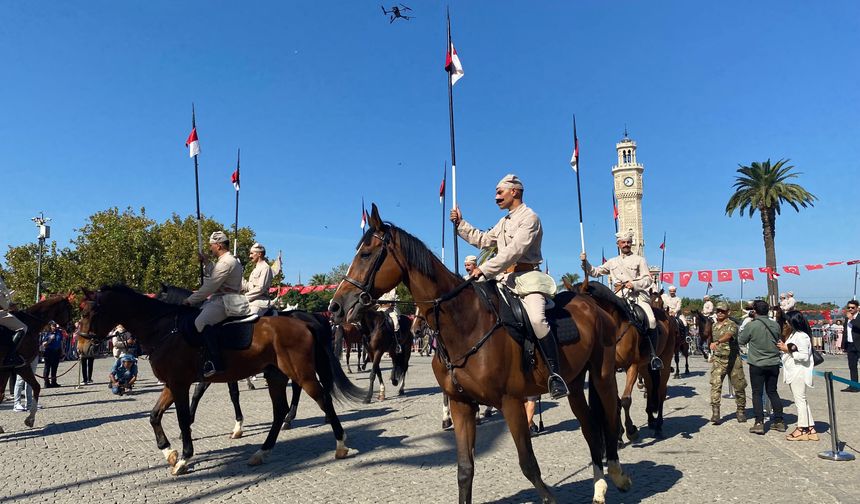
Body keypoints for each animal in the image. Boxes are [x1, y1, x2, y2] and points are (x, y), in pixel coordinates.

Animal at [0, 296, 74, 434]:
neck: (31, 325)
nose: (72, 328)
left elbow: (0, 394)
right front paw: (30, 419)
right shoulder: (22, 366)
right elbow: (37, 387)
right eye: (69, 308)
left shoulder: (6, 369)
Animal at [76, 286, 366, 474]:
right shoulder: (173, 384)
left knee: (323, 399)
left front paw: (184, 458)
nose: (82, 347)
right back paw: (262, 451)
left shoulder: (180, 384)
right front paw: (168, 452)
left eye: (90, 313)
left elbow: (183, 419)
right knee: (280, 409)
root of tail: (304, 322)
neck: (167, 328)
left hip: (302, 373)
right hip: (275, 375)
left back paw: (340, 445)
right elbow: (154, 416)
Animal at [330, 205, 632, 504]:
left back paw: (618, 474)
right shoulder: (461, 403)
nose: (335, 306)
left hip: (602, 375)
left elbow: (528, 463)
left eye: (366, 253)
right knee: (590, 427)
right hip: (575, 384)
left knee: (609, 415)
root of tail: (591, 303)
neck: (465, 322)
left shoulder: (511, 402)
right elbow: (465, 469)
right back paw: (599, 486)